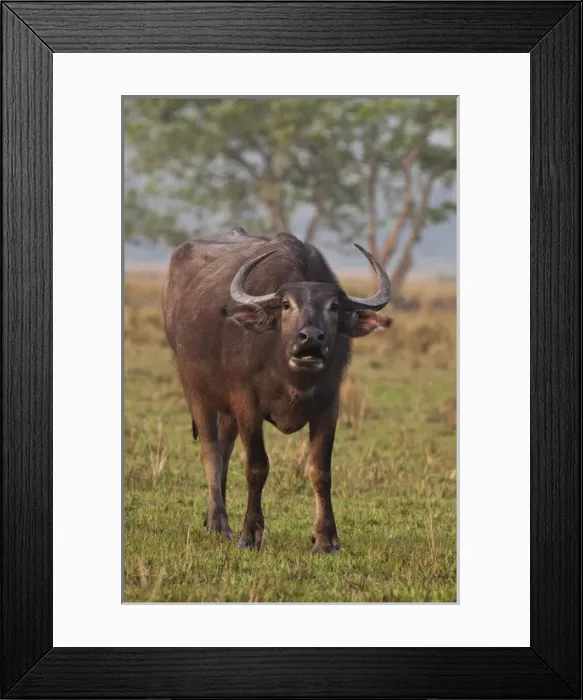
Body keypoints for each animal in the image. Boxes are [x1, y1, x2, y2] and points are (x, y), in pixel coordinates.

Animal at [163, 227, 392, 552]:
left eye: (334, 307)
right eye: (286, 305)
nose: (311, 338)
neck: (290, 376)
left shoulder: (329, 405)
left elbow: (320, 471)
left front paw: (326, 538)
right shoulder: (247, 402)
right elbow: (257, 466)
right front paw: (251, 534)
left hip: (226, 409)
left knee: (224, 448)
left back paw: (211, 517)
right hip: (195, 389)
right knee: (211, 452)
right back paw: (220, 524)